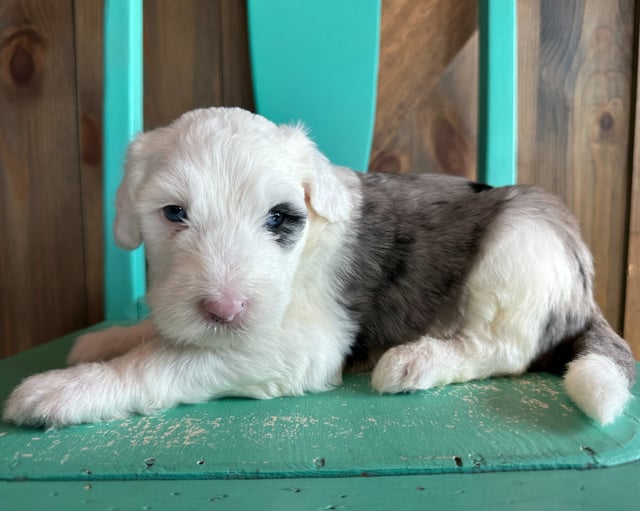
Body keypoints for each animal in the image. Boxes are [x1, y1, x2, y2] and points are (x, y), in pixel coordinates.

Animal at [3, 107, 636, 428]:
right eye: (174, 213)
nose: (224, 310)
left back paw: (417, 360)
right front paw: (104, 340)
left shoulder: (298, 343)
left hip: (520, 246)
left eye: (281, 218)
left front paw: (66, 390)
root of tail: (584, 291)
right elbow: (160, 335)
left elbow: (166, 359)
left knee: (500, 348)